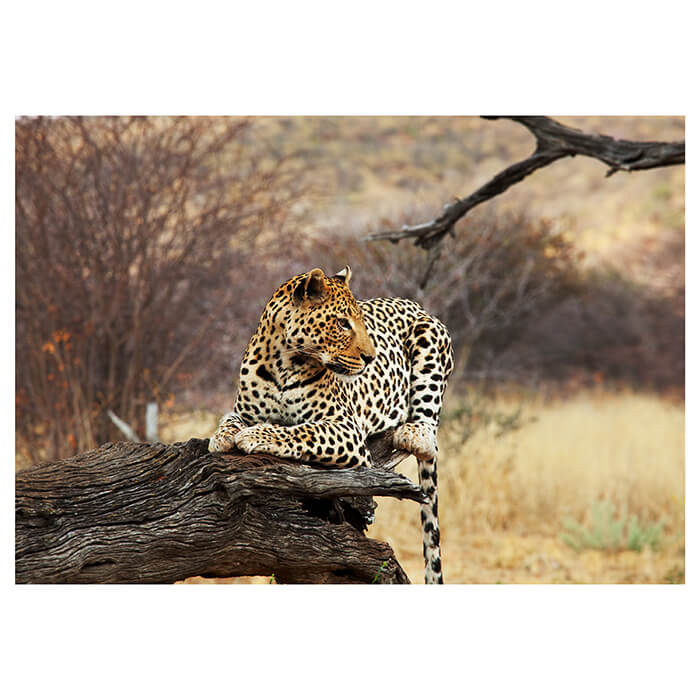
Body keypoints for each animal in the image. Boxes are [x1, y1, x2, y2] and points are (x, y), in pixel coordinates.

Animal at [209, 266, 454, 584]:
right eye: (342, 323)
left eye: (359, 322)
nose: (370, 357)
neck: (282, 362)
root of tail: (415, 304)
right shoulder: (243, 410)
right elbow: (230, 419)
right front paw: (222, 436)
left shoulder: (346, 428)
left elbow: (303, 430)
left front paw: (258, 435)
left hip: (431, 336)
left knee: (427, 433)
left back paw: (413, 432)